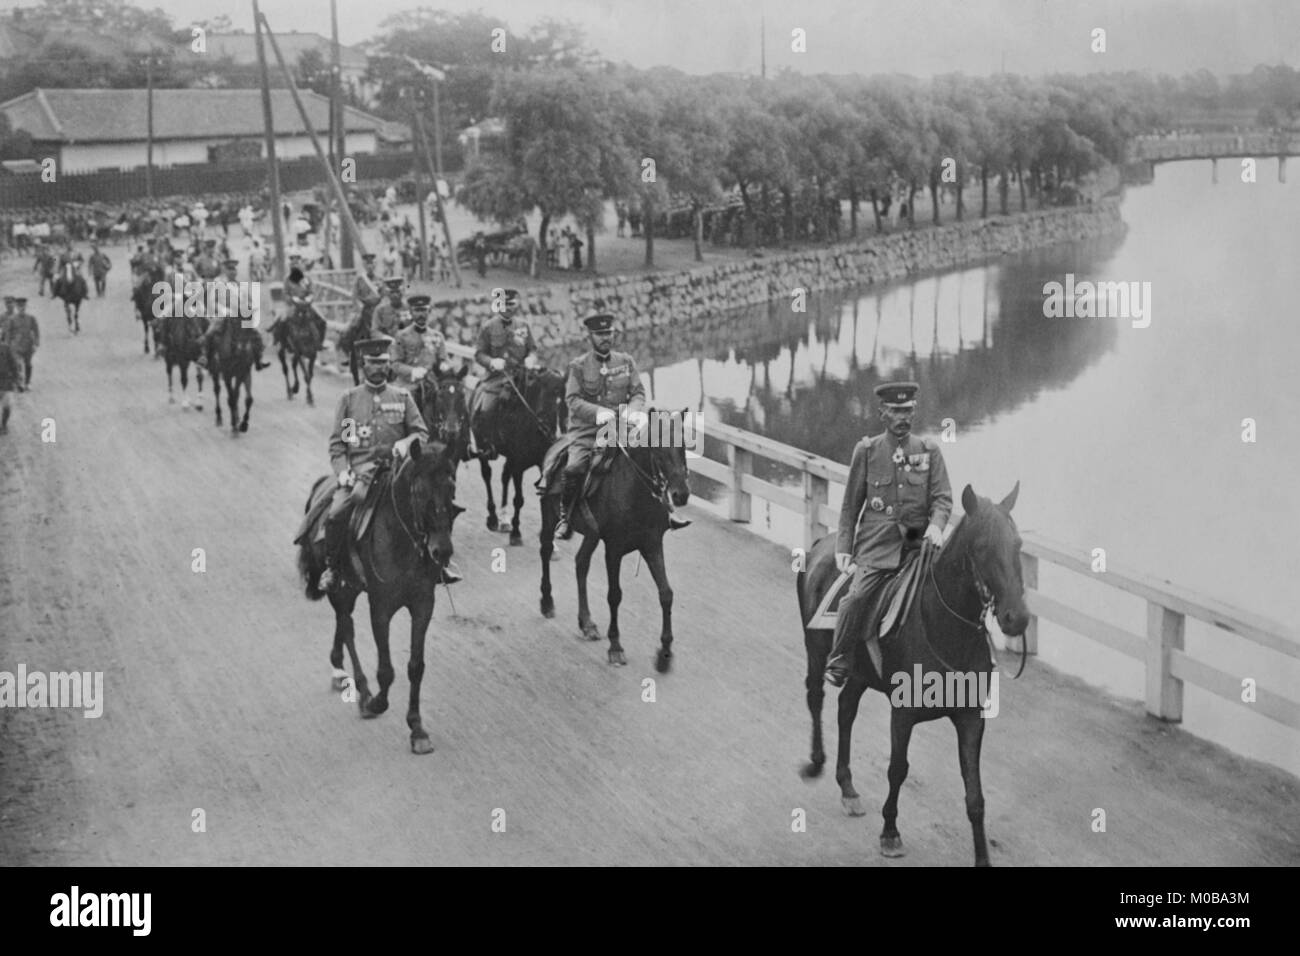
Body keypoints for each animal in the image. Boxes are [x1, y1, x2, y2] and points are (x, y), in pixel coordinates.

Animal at [299, 439, 467, 754]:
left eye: (451, 488)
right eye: (419, 491)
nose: (442, 551)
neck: (402, 539)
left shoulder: (423, 604)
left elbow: (416, 666)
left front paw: (417, 729)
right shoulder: (380, 607)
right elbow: (386, 670)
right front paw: (377, 702)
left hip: (351, 587)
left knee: (343, 623)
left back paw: (339, 667)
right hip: (340, 588)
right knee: (348, 627)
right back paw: (362, 690)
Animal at [473, 366, 564, 546]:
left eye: (558, 393)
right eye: (539, 389)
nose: (545, 425)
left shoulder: (541, 464)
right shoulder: (518, 465)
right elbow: (519, 499)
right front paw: (516, 534)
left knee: (504, 476)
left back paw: (504, 520)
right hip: (483, 447)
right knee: (487, 474)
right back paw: (493, 518)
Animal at [540, 413, 696, 671]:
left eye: (683, 446)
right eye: (657, 449)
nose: (681, 494)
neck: (635, 493)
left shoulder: (652, 544)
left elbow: (666, 593)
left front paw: (664, 651)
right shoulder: (613, 549)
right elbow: (614, 595)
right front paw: (615, 647)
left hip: (592, 535)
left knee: (581, 564)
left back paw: (587, 623)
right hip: (549, 515)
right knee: (545, 550)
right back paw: (547, 601)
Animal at [790, 486, 1024, 868]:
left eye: (1017, 544)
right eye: (982, 546)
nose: (1017, 617)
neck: (944, 628)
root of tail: (822, 545)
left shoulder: (971, 718)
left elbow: (974, 794)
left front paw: (982, 857)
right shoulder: (903, 714)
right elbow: (897, 768)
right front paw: (890, 832)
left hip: (859, 672)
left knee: (845, 710)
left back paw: (847, 787)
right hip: (816, 650)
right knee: (816, 698)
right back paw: (816, 762)